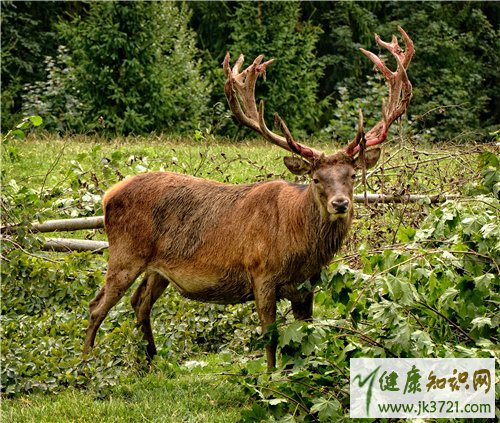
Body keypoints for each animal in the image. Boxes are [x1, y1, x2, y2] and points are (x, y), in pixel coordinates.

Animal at [83, 28, 414, 370]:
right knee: (97, 305)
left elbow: (306, 333)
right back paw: (83, 365)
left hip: (157, 268)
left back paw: (150, 359)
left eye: (351, 176)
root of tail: (108, 196)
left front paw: (305, 370)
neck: (297, 243)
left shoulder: (307, 284)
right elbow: (269, 335)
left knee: (140, 303)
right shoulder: (261, 273)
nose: (340, 204)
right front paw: (270, 376)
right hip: (125, 252)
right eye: (315, 179)